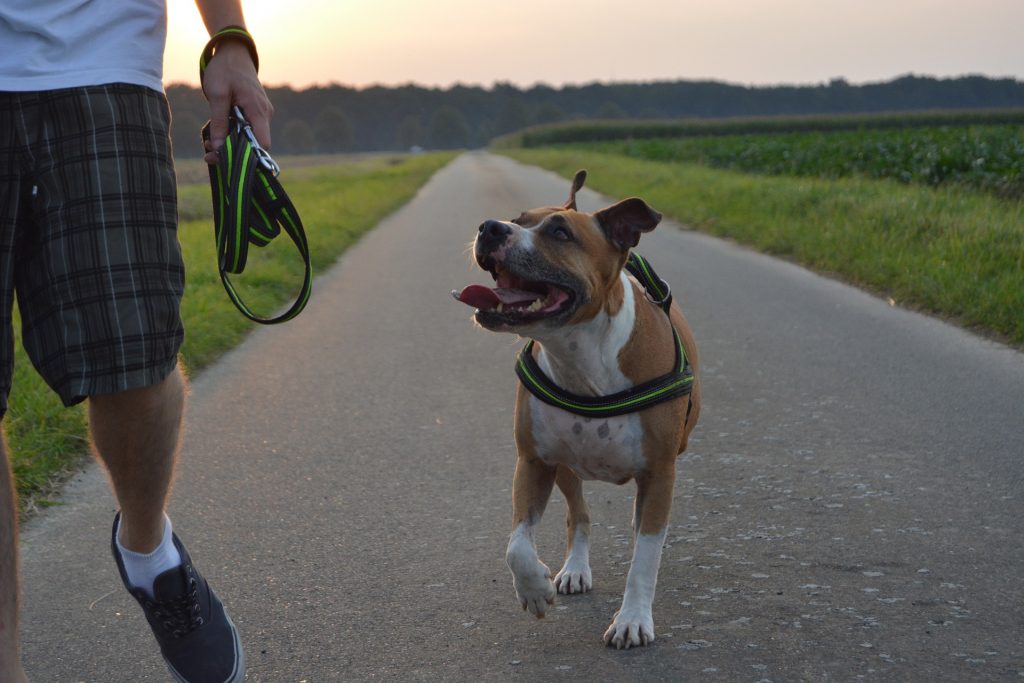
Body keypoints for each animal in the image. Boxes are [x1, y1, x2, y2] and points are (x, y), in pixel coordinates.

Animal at [456, 169, 704, 647]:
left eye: (559, 232)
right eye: (517, 219)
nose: (490, 227)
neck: (581, 357)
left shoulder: (659, 473)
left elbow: (645, 557)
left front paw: (632, 619)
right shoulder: (534, 461)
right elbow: (517, 545)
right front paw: (534, 589)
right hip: (567, 467)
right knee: (579, 515)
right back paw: (574, 570)